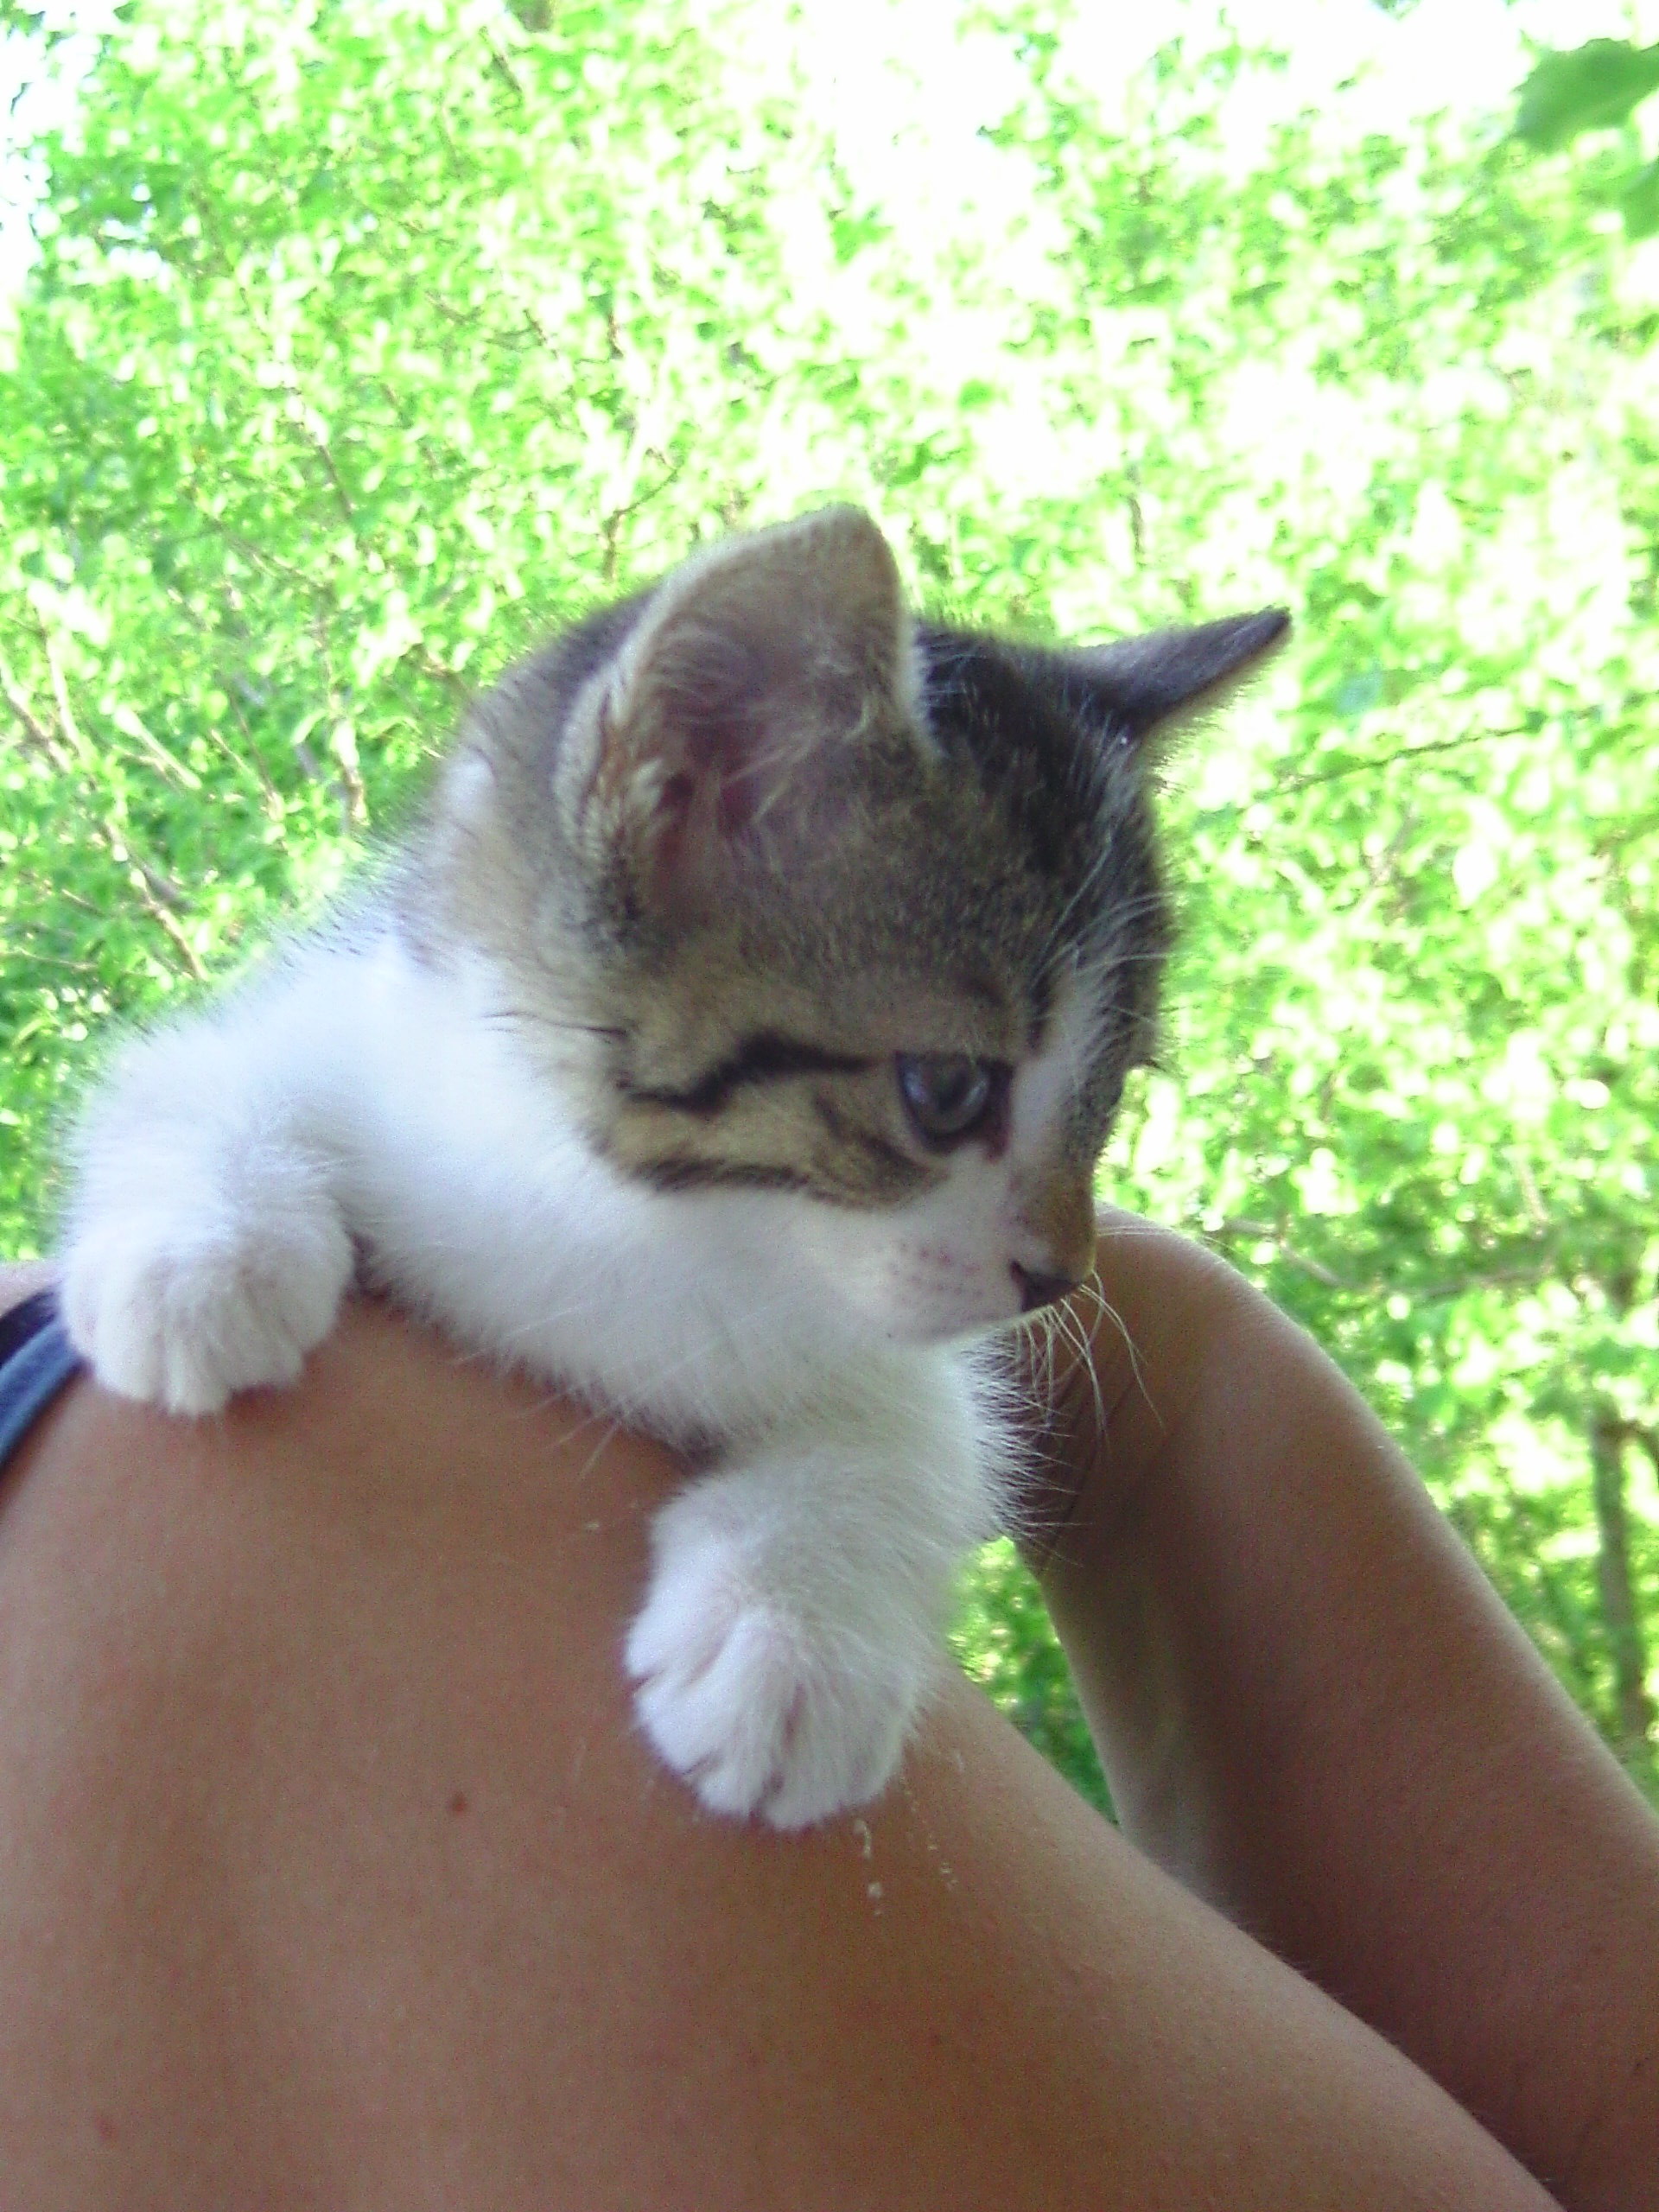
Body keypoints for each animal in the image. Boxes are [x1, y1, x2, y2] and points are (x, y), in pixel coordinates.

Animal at [59, 505, 1286, 1828]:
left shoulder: (908, 1355)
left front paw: (793, 1639)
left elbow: (914, 1433)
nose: (1062, 1277)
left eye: (1111, 1090)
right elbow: (189, 1080)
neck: (657, 1227)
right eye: (947, 1090)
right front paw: (200, 1267)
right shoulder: (344, 1036)